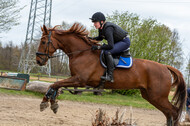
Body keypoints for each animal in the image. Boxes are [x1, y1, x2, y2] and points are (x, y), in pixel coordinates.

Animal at [36, 22, 186, 126]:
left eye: (43, 41)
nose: (38, 60)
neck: (81, 53)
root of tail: (165, 67)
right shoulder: (75, 79)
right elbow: (55, 85)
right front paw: (51, 103)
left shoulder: (80, 80)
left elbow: (55, 84)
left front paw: (47, 103)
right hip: (150, 95)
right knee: (169, 114)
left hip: (158, 96)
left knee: (174, 112)